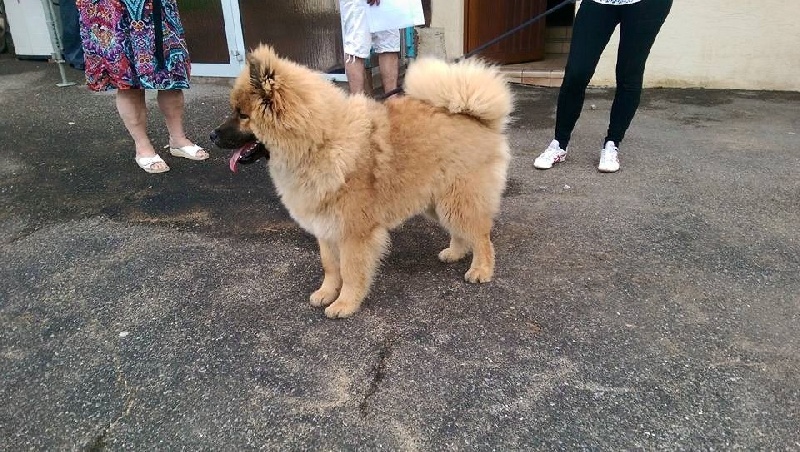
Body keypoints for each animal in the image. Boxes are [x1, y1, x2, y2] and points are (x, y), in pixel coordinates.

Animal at [212, 44, 512, 316]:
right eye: (235, 111)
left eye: (242, 115)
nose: (212, 135)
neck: (321, 143)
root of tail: (475, 117)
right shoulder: (326, 227)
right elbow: (330, 267)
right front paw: (326, 293)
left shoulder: (354, 233)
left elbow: (350, 271)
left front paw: (345, 304)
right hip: (436, 203)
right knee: (462, 231)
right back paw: (455, 253)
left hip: (457, 199)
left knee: (481, 236)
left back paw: (481, 269)